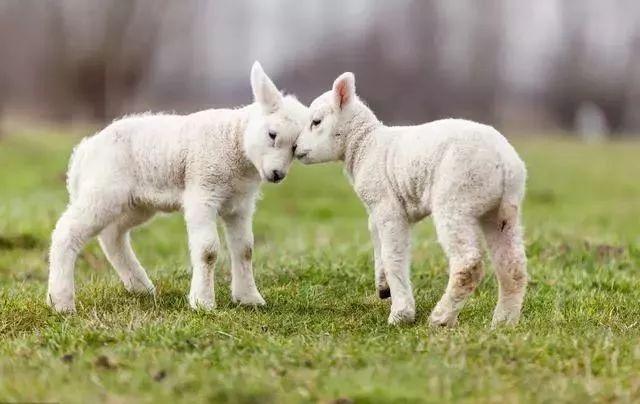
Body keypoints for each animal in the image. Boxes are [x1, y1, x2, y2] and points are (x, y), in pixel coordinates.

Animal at [47, 61, 308, 312]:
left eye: (295, 148)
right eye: (272, 134)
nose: (277, 174)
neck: (235, 142)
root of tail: (83, 151)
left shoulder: (240, 204)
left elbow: (245, 249)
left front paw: (249, 299)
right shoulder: (203, 192)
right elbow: (208, 250)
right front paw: (202, 302)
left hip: (137, 203)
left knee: (112, 235)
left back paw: (141, 287)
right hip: (103, 189)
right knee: (66, 232)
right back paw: (61, 302)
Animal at [292, 72, 528, 328]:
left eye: (316, 122)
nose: (294, 148)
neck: (364, 145)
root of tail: (505, 162)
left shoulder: (387, 206)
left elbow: (393, 255)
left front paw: (401, 313)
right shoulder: (376, 209)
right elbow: (377, 241)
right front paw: (383, 286)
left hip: (457, 198)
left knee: (468, 264)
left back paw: (441, 318)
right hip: (499, 213)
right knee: (513, 266)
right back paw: (503, 322)